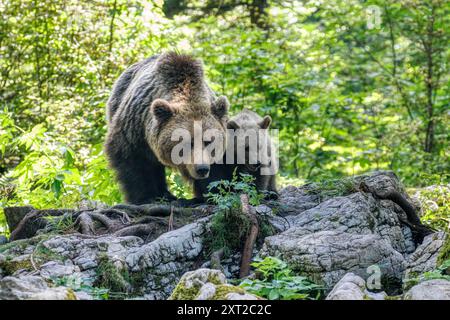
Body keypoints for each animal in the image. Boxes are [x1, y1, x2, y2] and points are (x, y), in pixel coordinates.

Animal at [105, 51, 229, 204]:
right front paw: (147, 197)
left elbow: (218, 167)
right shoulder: (135, 126)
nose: (202, 169)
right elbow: (134, 161)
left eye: (208, 141)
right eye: (187, 142)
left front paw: (213, 192)